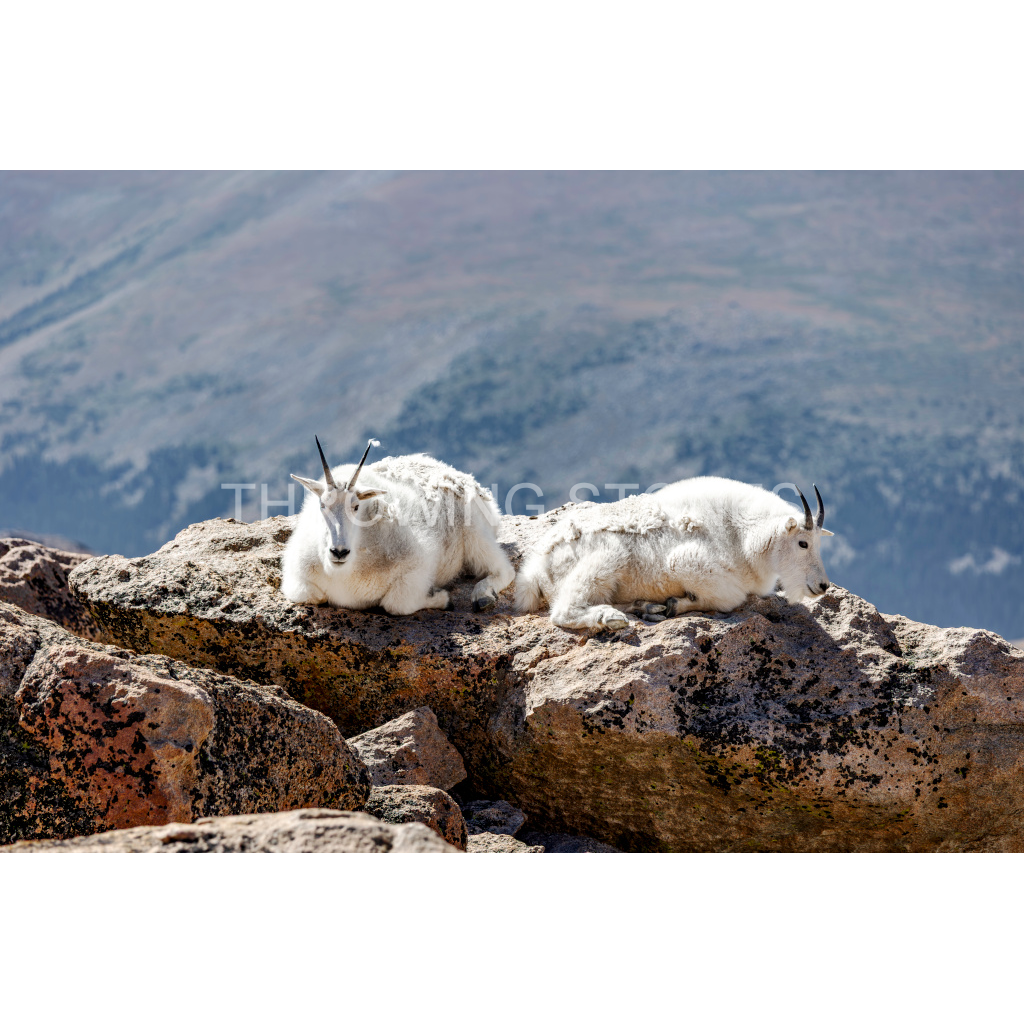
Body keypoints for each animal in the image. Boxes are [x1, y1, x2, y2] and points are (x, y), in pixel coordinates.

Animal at [281, 437, 515, 615]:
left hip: (474, 530)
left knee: (504, 569)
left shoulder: (417, 568)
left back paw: (483, 597)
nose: (339, 552)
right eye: (322, 505)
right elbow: (311, 595)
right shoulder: (296, 577)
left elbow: (396, 604)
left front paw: (442, 599)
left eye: (356, 506)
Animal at [515, 476, 833, 631]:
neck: (740, 535)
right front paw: (675, 604)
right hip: (606, 557)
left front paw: (665, 606)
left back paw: (644, 607)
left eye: (819, 544)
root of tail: (535, 570)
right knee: (563, 610)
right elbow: (731, 598)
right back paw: (611, 618)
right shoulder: (685, 562)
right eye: (803, 543)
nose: (822, 586)